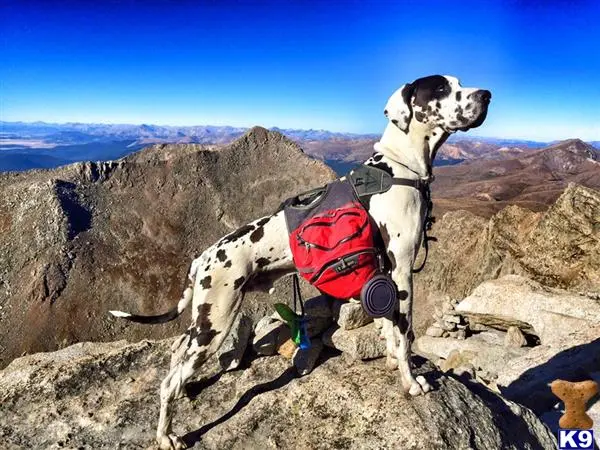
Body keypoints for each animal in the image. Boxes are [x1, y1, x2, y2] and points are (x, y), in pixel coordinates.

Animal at [110, 75, 490, 448]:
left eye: (458, 83)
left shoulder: (385, 277)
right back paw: (166, 435)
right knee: (169, 382)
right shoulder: (401, 274)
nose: (486, 94)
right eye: (441, 88)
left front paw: (392, 361)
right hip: (215, 321)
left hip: (203, 320)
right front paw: (411, 383)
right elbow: (405, 334)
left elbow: (389, 330)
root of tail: (201, 258)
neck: (398, 166)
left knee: (177, 356)